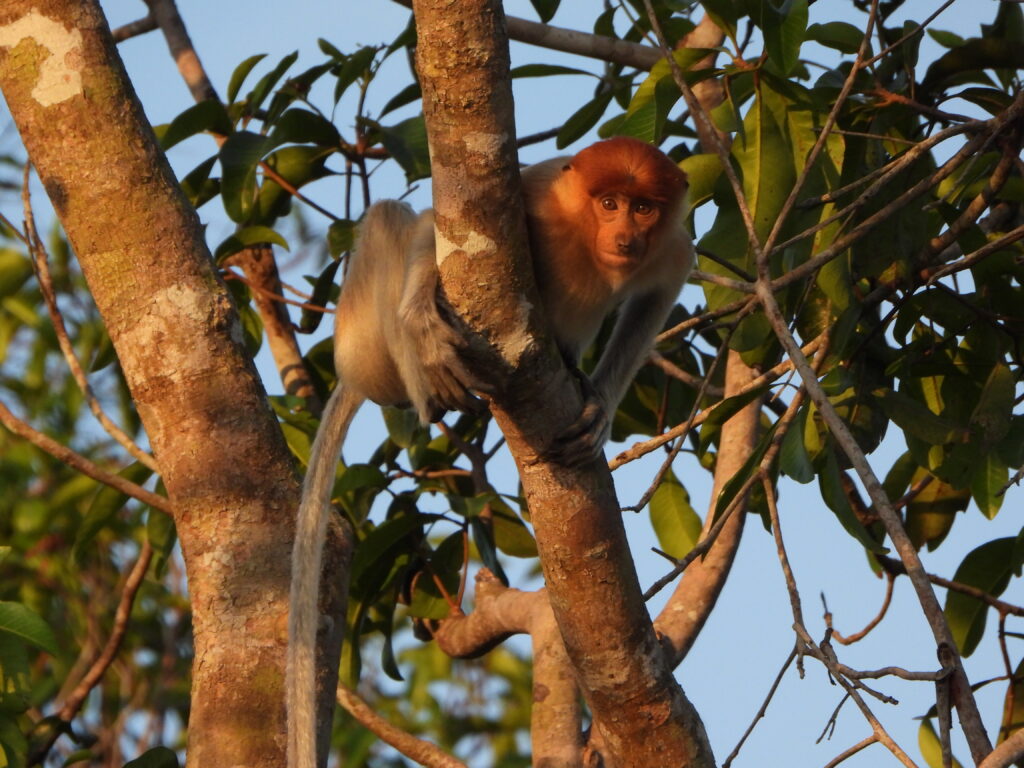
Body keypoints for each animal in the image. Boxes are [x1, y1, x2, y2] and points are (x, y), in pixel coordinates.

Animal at [287, 136, 693, 768]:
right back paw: (428, 372)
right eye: (608, 203)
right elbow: (438, 224)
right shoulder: (538, 199)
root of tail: (352, 374)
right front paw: (422, 324)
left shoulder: (671, 246)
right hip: (364, 345)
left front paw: (598, 409)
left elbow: (657, 296)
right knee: (393, 219)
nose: (626, 236)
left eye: (643, 208)